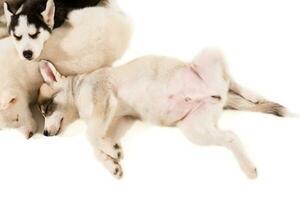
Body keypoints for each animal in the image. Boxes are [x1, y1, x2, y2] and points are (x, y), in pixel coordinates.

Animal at [38, 49, 288, 179]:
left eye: (47, 108)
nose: (45, 134)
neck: (78, 88)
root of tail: (219, 95)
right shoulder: (115, 119)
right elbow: (95, 144)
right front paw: (112, 162)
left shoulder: (103, 98)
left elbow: (90, 136)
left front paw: (111, 152)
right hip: (195, 130)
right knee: (231, 137)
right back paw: (248, 167)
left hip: (208, 55)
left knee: (232, 80)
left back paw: (253, 94)